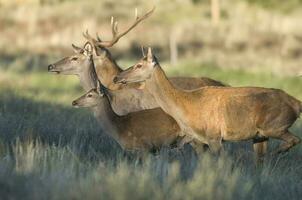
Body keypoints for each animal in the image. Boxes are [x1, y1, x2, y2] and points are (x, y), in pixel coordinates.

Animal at [114, 47, 300, 161]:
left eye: (139, 65)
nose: (117, 77)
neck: (185, 106)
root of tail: (297, 104)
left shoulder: (214, 135)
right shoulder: (198, 140)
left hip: (274, 125)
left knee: (295, 139)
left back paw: (277, 152)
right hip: (259, 135)